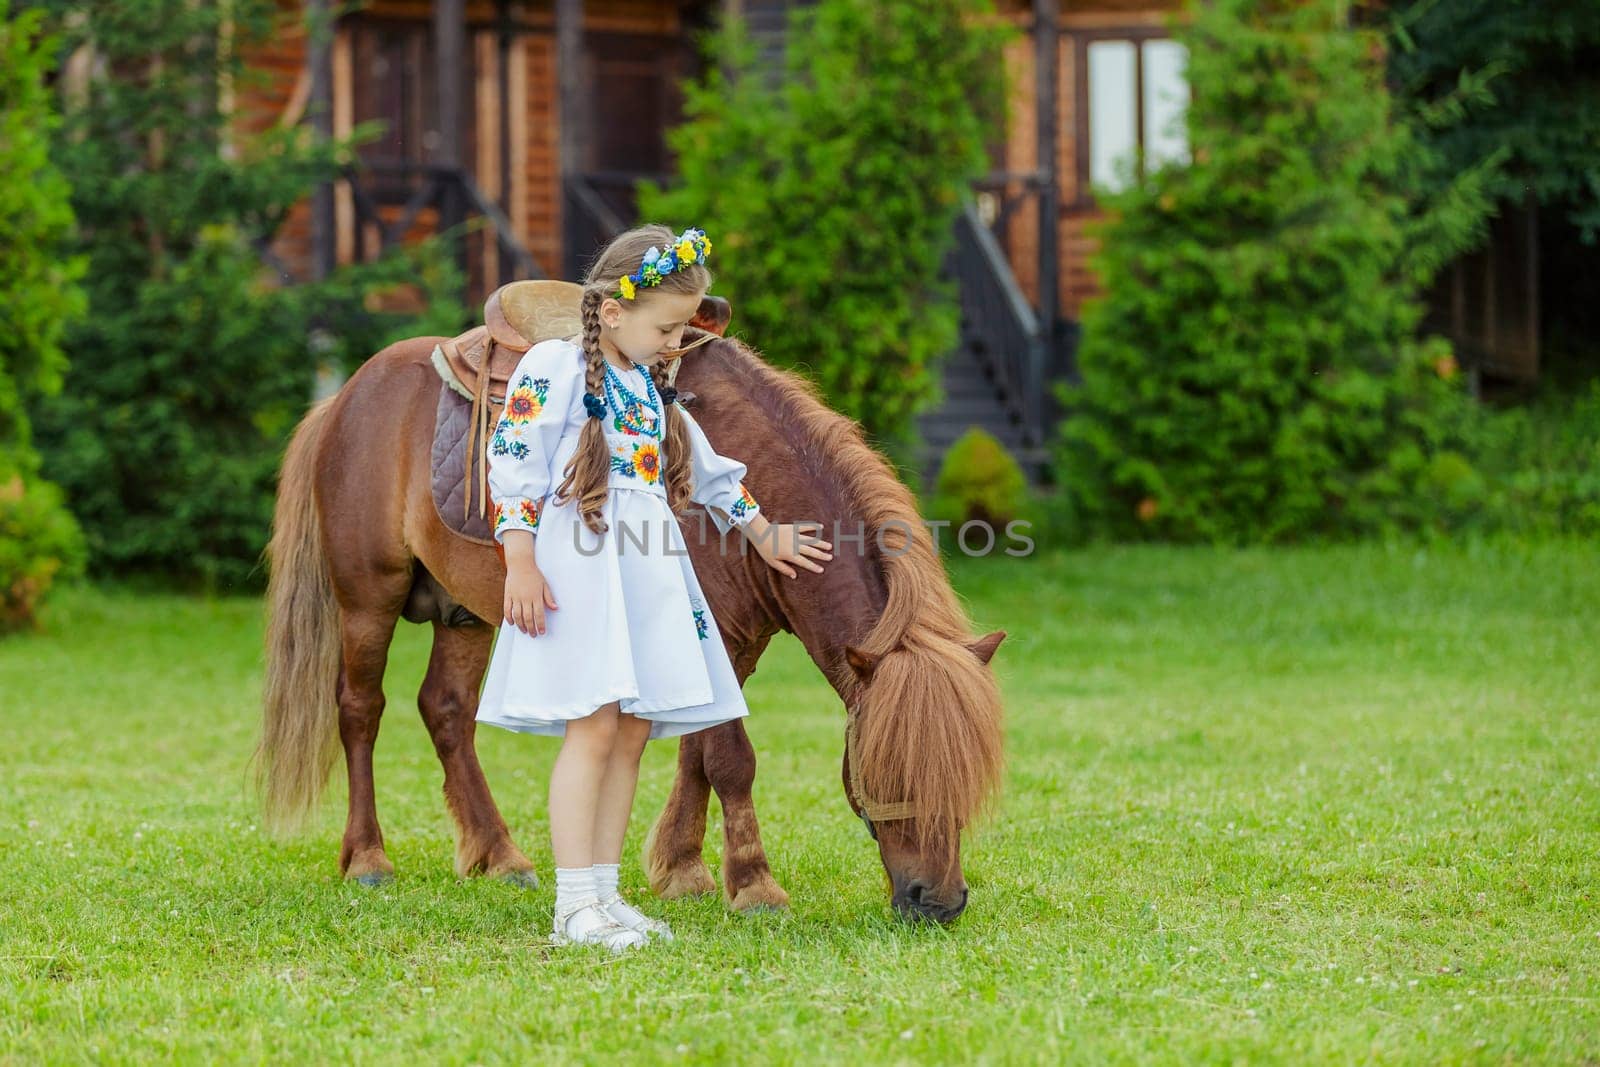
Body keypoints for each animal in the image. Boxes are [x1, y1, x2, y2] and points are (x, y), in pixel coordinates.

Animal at [256, 321, 1004, 921]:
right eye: (888, 771)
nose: (939, 901)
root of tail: (344, 397)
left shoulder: (727, 646)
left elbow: (699, 754)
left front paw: (684, 868)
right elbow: (731, 759)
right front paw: (754, 885)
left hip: (461, 613)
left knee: (444, 710)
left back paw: (500, 855)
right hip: (368, 601)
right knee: (360, 710)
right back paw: (367, 858)